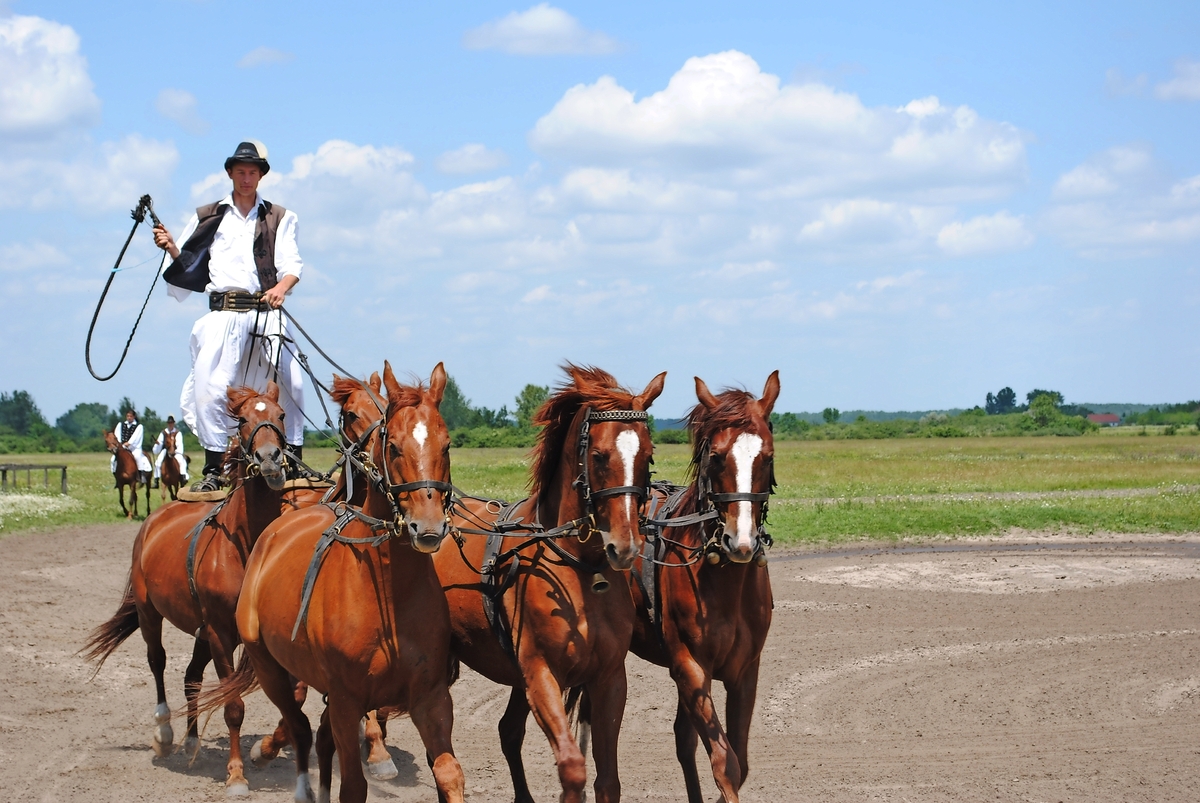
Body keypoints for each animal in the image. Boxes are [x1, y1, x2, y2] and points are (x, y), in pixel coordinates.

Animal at [81, 384, 288, 796]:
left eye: (282, 414)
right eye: (242, 420)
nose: (270, 458)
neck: (244, 545)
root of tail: (154, 521)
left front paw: (263, 751)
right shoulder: (222, 634)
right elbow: (233, 707)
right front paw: (236, 774)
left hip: (200, 631)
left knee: (191, 677)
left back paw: (192, 740)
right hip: (151, 613)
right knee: (158, 662)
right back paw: (164, 733)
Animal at [196, 362, 463, 801]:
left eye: (446, 445)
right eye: (394, 446)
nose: (427, 526)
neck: (388, 590)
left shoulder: (432, 698)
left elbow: (448, 773)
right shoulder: (344, 700)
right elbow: (352, 783)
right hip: (269, 668)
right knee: (300, 728)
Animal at [436, 364, 667, 801]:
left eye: (647, 457)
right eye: (599, 456)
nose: (625, 546)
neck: (582, 572)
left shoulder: (609, 678)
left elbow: (607, 779)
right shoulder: (542, 676)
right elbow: (572, 768)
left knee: (507, 731)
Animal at [628, 372, 777, 801]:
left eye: (768, 457)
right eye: (717, 456)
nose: (741, 542)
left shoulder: (745, 671)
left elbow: (737, 760)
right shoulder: (692, 668)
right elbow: (725, 763)